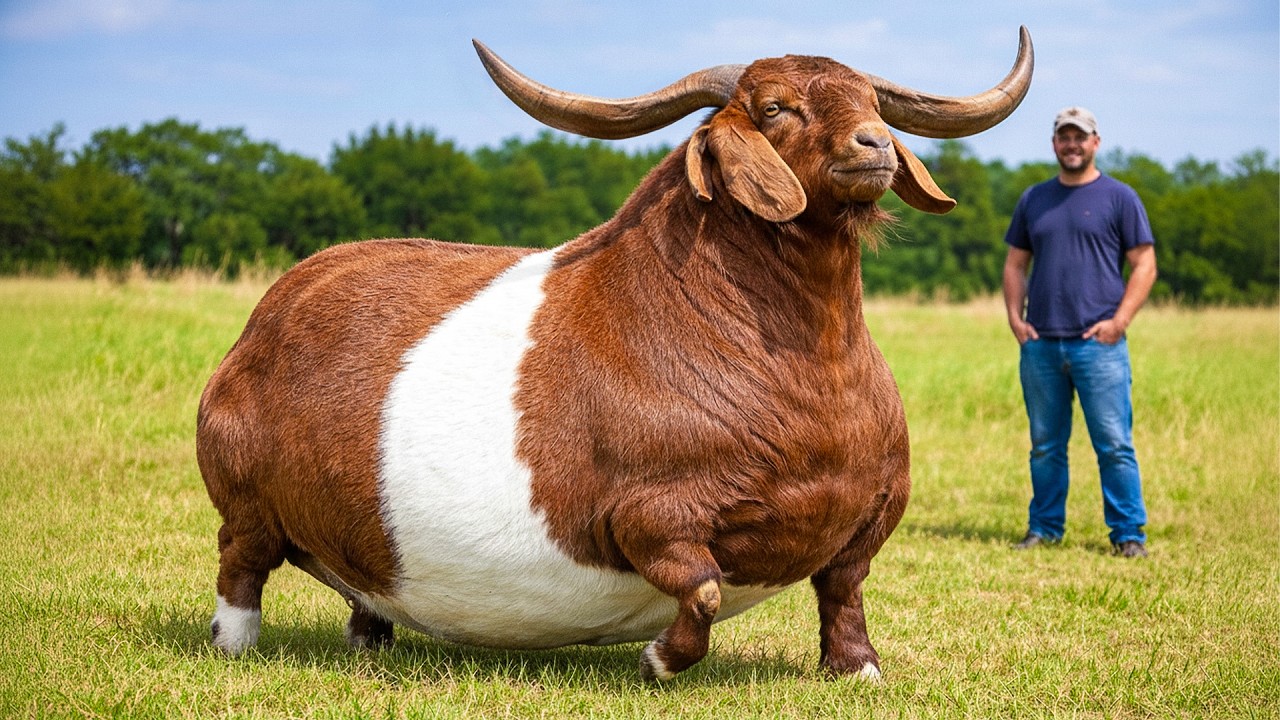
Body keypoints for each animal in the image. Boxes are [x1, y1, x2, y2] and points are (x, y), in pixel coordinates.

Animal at [197, 28, 1033, 680]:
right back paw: (232, 642)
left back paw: (371, 637)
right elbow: (701, 587)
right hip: (245, 498)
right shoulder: (646, 517)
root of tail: (275, 306)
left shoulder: (874, 511)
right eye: (773, 107)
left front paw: (856, 667)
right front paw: (659, 658)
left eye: (871, 103)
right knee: (241, 559)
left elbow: (845, 585)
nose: (875, 147)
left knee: (361, 584)